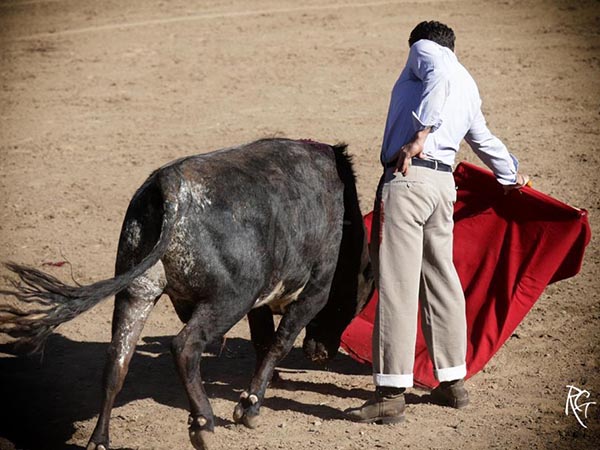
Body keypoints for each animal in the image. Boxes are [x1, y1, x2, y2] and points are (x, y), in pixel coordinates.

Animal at [0, 138, 372, 450]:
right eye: (350, 305)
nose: (321, 354)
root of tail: (169, 187)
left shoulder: (260, 300)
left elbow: (262, 340)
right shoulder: (314, 292)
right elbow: (278, 342)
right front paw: (249, 408)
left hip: (137, 292)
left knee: (117, 362)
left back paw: (100, 440)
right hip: (228, 299)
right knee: (185, 346)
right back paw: (203, 424)